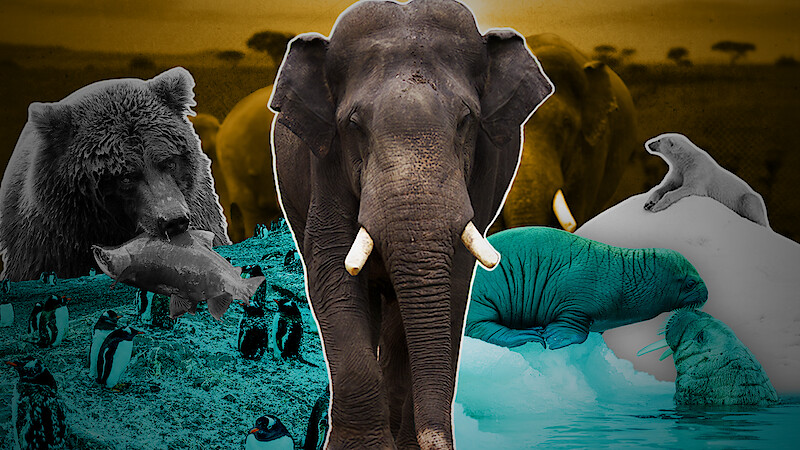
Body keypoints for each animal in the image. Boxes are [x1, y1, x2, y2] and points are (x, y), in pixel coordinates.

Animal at [269, 0, 552, 448]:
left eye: (466, 120)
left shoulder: (484, 172)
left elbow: (452, 283)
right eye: (353, 125)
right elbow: (333, 271)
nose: (438, 441)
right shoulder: (324, 161)